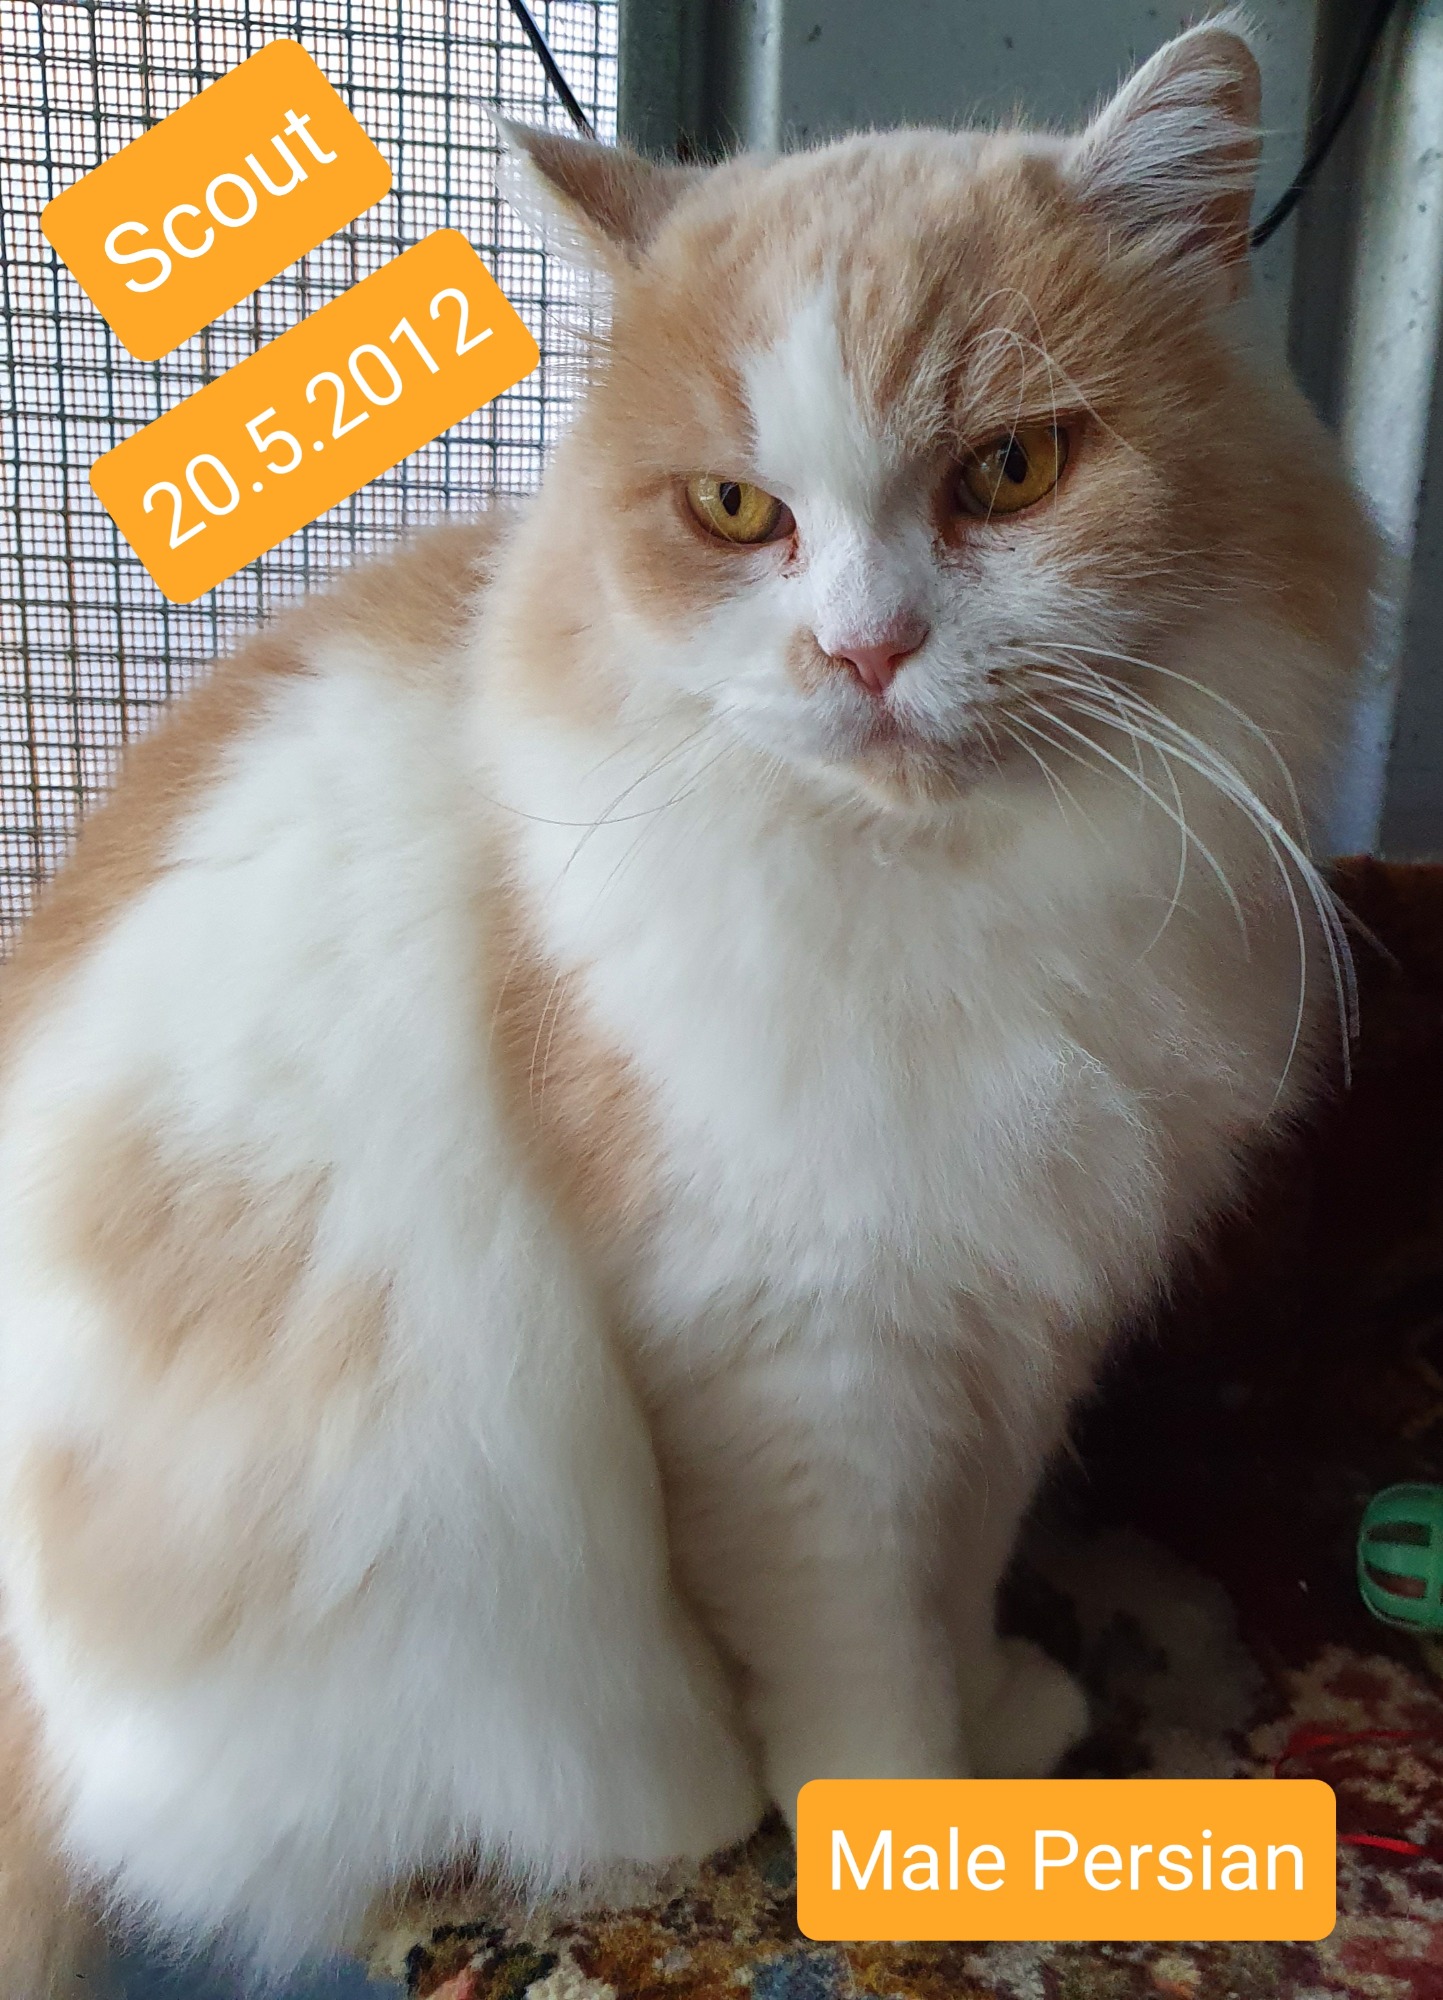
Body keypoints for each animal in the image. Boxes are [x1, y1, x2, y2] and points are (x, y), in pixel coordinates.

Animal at [0, 13, 1375, 1991]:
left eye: (1008, 474)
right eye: (734, 513)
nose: (865, 653)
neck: (944, 900)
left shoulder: (1000, 1332)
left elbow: (954, 1579)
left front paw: (995, 1725)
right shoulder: (793, 1362)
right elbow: (856, 1652)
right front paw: (910, 1846)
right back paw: (691, 1796)